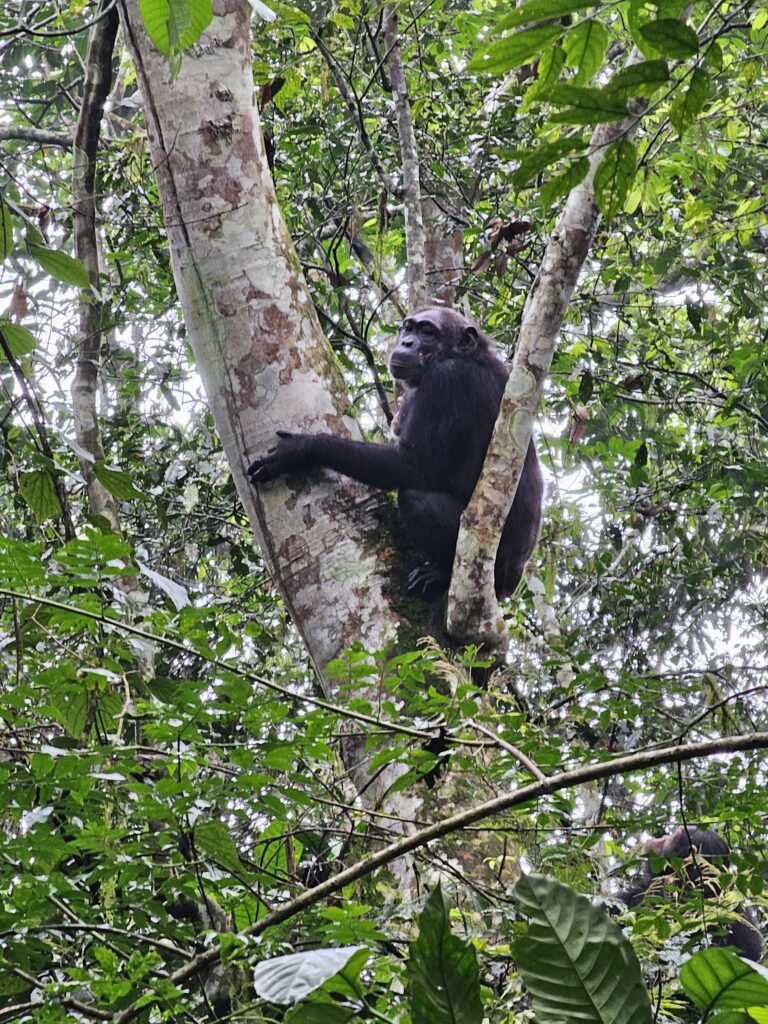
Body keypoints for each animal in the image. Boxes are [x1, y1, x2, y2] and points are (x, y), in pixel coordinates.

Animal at [249, 303, 544, 598]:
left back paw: (441, 574)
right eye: (408, 328)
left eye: (428, 332)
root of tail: (510, 581)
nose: (407, 342)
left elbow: (414, 465)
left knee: (416, 499)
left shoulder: (447, 379)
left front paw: (300, 449)